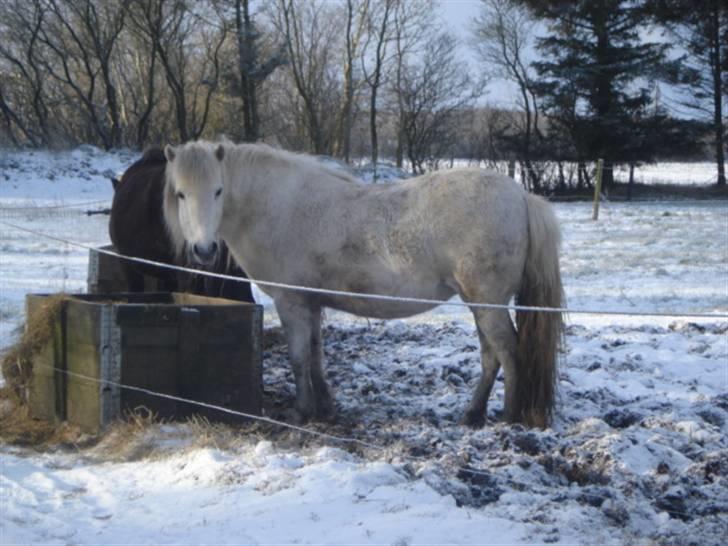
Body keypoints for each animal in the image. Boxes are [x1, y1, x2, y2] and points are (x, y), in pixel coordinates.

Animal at [165, 139, 564, 424]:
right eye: (181, 194)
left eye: (218, 191)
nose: (204, 249)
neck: (279, 208)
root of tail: (521, 196)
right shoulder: (312, 303)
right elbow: (315, 355)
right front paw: (325, 406)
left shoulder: (292, 302)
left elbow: (298, 358)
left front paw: (302, 412)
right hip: (480, 305)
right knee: (490, 356)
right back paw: (473, 414)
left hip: (487, 303)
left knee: (508, 353)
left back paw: (509, 418)